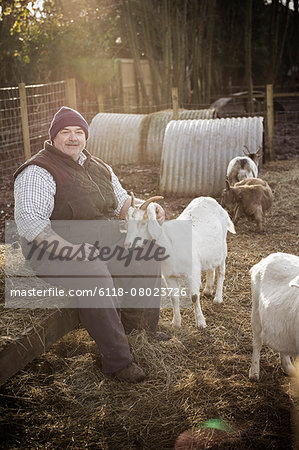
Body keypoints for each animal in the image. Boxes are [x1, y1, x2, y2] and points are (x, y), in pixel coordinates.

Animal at [125, 195, 237, 328]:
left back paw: (218, 298)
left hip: (223, 248)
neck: (169, 242)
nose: (127, 244)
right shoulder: (169, 276)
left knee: (221, 272)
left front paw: (201, 322)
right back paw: (208, 290)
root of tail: (209, 199)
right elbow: (174, 298)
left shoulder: (192, 273)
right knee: (211, 268)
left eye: (143, 222)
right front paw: (176, 323)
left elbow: (194, 297)